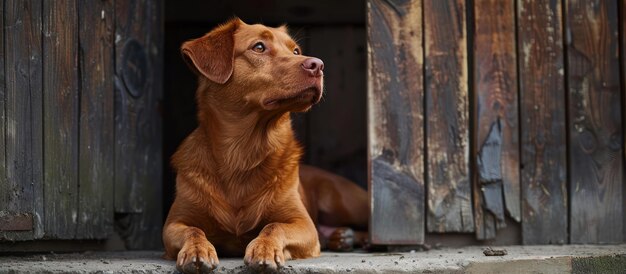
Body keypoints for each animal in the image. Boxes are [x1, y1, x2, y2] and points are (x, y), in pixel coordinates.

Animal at [161, 18, 368, 272]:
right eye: (259, 47)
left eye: (295, 51)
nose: (318, 65)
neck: (243, 151)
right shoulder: (173, 224)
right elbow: (193, 230)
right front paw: (197, 249)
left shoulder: (303, 224)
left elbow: (273, 226)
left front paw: (264, 249)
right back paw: (342, 237)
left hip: (344, 201)